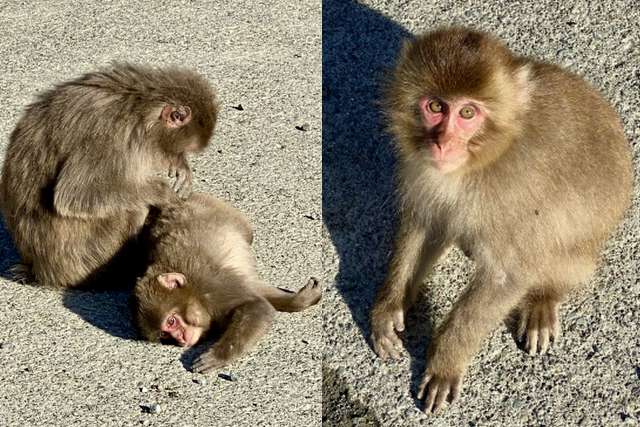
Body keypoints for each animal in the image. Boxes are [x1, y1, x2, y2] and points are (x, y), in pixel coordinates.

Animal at [0, 63, 218, 288]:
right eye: (185, 147)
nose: (178, 157)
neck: (139, 109)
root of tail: (40, 271)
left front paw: (180, 167)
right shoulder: (109, 136)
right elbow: (75, 196)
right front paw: (162, 191)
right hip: (88, 255)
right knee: (132, 207)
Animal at [132, 193, 322, 372]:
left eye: (171, 321)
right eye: (165, 335)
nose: (180, 339)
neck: (195, 292)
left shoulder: (212, 288)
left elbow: (257, 305)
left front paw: (218, 356)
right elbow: (255, 292)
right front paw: (298, 299)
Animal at [370, 27, 633, 413]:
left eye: (467, 112)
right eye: (435, 107)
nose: (443, 143)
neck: (481, 161)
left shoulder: (510, 196)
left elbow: (508, 274)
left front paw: (445, 360)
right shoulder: (427, 174)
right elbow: (425, 223)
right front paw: (388, 309)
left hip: (582, 247)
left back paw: (541, 301)